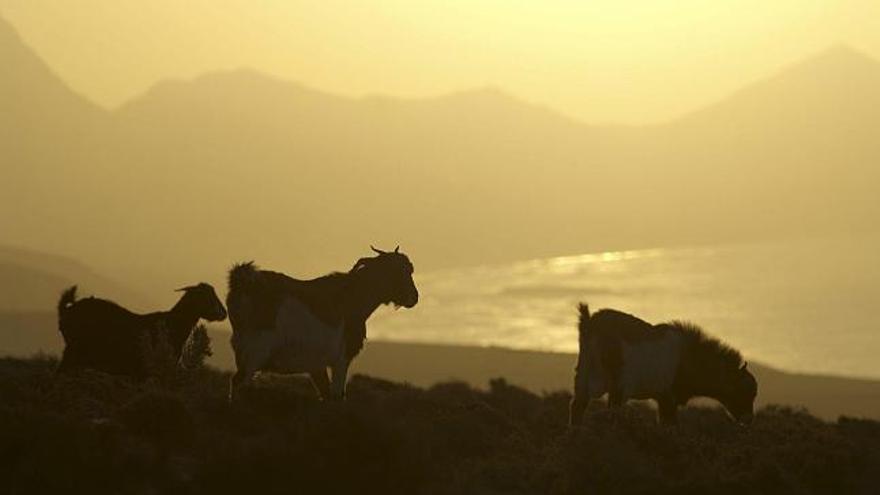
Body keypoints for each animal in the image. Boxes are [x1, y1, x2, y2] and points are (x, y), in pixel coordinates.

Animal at [227, 246, 420, 402]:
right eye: (395, 271)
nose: (414, 297)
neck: (351, 298)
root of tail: (244, 282)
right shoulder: (341, 358)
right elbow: (337, 397)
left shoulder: (317, 366)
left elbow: (325, 395)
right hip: (255, 350)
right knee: (239, 383)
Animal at [572, 304, 756, 428]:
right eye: (744, 391)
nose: (748, 420)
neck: (688, 355)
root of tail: (591, 324)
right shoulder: (669, 397)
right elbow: (670, 424)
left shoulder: (661, 397)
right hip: (618, 386)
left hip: (582, 375)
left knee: (577, 408)